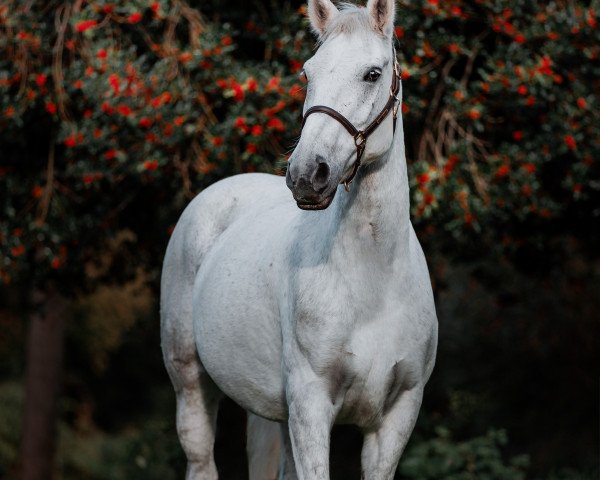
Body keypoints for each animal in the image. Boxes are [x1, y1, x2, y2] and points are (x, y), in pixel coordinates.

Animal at [162, 0, 438, 478]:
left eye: (372, 74)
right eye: (308, 73)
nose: (308, 174)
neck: (374, 283)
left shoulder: (396, 418)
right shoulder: (311, 408)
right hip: (192, 387)